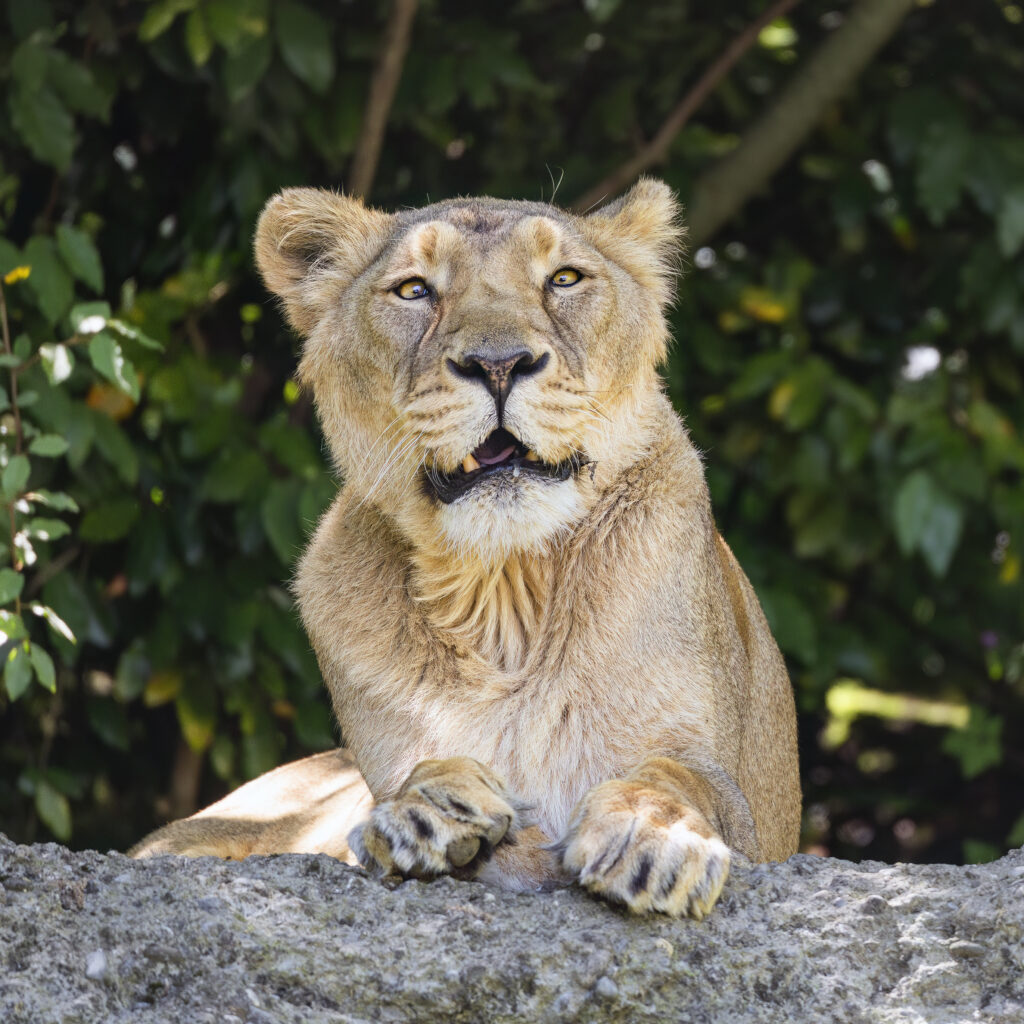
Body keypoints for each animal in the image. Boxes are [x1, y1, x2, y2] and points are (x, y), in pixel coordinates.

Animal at [131, 179, 801, 917]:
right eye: (414, 290)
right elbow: (418, 780)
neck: (504, 595)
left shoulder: (744, 809)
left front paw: (650, 836)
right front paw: (429, 810)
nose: (499, 364)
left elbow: (677, 777)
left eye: (564, 279)